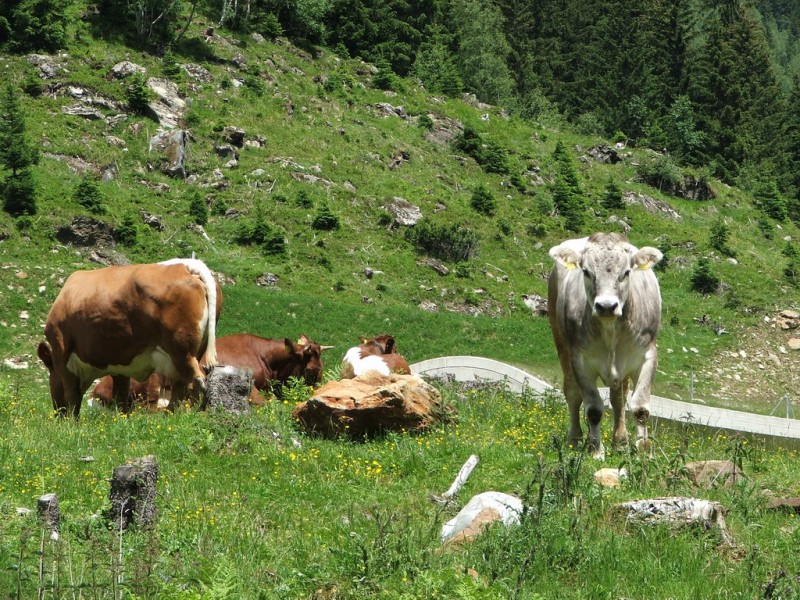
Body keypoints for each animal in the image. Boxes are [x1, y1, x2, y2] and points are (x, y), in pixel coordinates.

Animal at [36, 258, 220, 418]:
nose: (58, 414)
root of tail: (187, 265)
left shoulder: (62, 353)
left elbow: (72, 396)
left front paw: (71, 424)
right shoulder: (119, 366)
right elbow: (121, 397)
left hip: (181, 351)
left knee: (195, 383)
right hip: (192, 354)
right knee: (182, 387)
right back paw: (169, 416)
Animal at [552, 233, 664, 460]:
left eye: (627, 272)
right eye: (586, 272)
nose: (606, 306)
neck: (611, 330)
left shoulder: (647, 355)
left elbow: (640, 408)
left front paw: (643, 450)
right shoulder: (580, 361)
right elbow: (593, 408)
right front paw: (596, 450)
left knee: (618, 398)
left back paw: (620, 441)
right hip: (561, 342)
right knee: (572, 394)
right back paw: (574, 440)